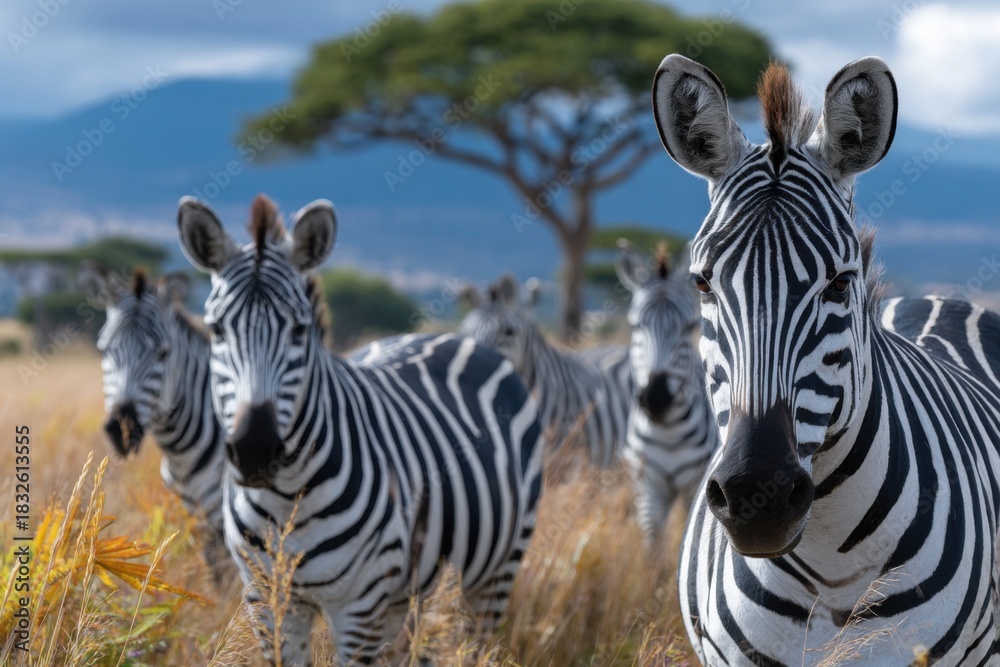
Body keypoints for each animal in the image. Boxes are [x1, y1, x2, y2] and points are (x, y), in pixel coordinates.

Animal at [78, 263, 230, 582]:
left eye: (163, 353)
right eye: (103, 350)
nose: (121, 429)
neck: (181, 455)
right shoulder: (197, 514)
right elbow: (218, 575)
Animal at [177, 195, 544, 665]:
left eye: (300, 330)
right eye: (216, 329)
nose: (255, 450)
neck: (286, 500)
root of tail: (457, 338)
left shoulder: (357, 607)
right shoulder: (267, 600)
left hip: (497, 568)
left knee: (474, 642)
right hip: (409, 588)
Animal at [615, 241, 718, 546]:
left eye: (689, 328)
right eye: (636, 326)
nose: (656, 399)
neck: (667, 430)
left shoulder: (695, 486)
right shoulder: (648, 487)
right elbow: (653, 548)